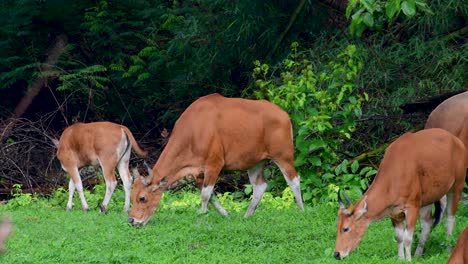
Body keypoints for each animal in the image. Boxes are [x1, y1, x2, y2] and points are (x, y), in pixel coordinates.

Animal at [128, 93, 304, 227]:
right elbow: (210, 195)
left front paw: (201, 215)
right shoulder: (198, 173)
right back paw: (247, 215)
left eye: (142, 198)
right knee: (259, 186)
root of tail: (284, 115)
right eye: (131, 196)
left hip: (284, 156)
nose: (131, 220)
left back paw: (301, 210)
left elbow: (205, 195)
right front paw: (225, 214)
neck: (194, 132)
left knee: (294, 180)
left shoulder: (214, 164)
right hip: (255, 162)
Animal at [334, 129, 466, 260]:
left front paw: (408, 260)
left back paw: (448, 249)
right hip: (427, 199)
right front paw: (401, 258)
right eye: (337, 227)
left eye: (346, 228)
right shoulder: (394, 212)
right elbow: (399, 237)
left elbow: (407, 238)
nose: (337, 254)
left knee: (450, 219)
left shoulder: (412, 207)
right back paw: (418, 254)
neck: (394, 177)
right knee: (428, 223)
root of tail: (457, 141)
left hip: (457, 186)